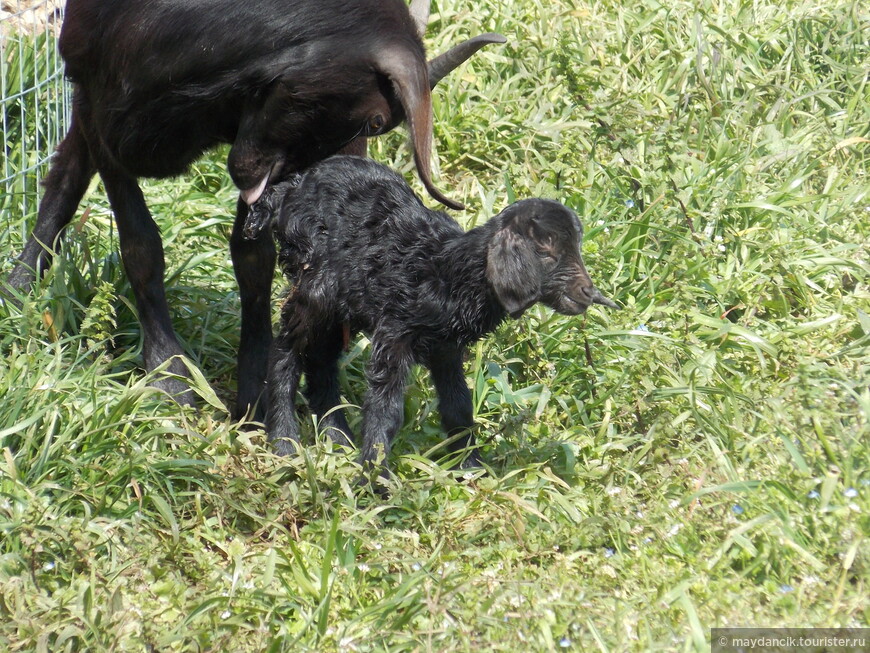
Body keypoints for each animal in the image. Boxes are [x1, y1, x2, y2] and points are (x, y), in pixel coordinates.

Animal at [8, 0, 504, 418]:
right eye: (376, 120)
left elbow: (253, 257)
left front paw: (256, 391)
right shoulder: (97, 98)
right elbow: (139, 244)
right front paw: (170, 376)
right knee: (68, 171)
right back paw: (19, 288)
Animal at [266, 155, 620, 476]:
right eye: (547, 251)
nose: (588, 293)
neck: (449, 273)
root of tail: (293, 186)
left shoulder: (446, 348)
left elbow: (458, 406)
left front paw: (470, 467)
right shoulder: (395, 332)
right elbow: (386, 408)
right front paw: (375, 477)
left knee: (321, 359)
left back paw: (337, 438)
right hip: (315, 284)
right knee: (286, 352)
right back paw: (284, 442)